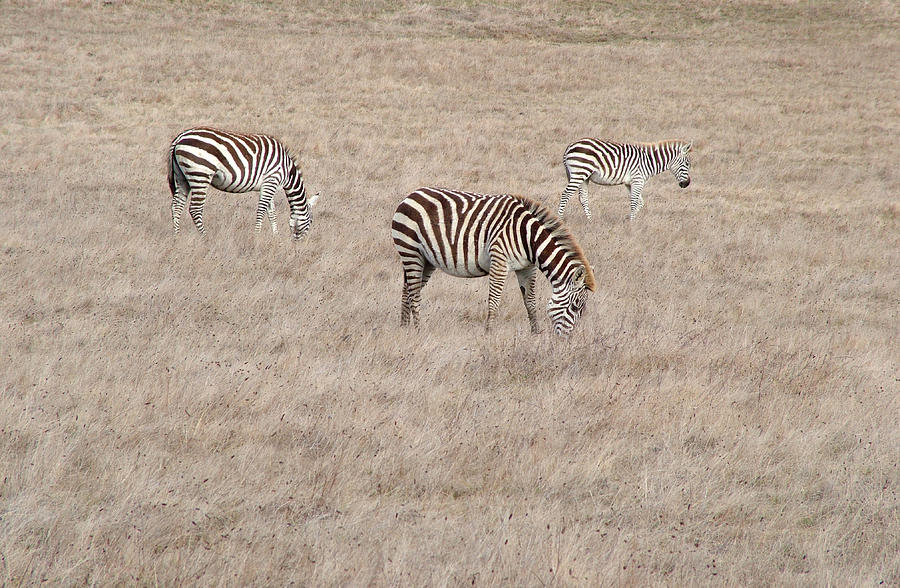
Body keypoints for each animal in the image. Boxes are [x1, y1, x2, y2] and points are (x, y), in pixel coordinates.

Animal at [167, 128, 318, 239]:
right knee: (195, 209)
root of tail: (180, 137)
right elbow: (262, 210)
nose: (297, 243)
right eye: (310, 222)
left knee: (176, 206)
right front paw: (256, 236)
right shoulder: (271, 179)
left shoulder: (269, 184)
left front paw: (276, 237)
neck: (287, 171)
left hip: (182, 177)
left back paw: (176, 236)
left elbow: (271, 212)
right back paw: (205, 237)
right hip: (200, 174)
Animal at [390, 188, 596, 336]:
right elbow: (494, 300)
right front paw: (489, 333)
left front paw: (535, 333)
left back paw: (404, 327)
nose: (566, 339)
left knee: (407, 289)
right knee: (413, 292)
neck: (528, 238)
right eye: (576, 307)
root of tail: (411, 195)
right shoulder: (499, 261)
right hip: (411, 251)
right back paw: (418, 330)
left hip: (427, 259)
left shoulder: (526, 268)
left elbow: (530, 300)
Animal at [556, 138, 696, 220]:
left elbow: (640, 202)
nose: (687, 184)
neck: (649, 161)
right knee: (565, 194)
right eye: (687, 164)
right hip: (579, 173)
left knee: (583, 198)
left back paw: (590, 220)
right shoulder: (638, 180)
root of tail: (569, 147)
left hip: (584, 177)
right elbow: (634, 202)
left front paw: (629, 220)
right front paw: (632, 224)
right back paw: (560, 218)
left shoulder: (630, 183)